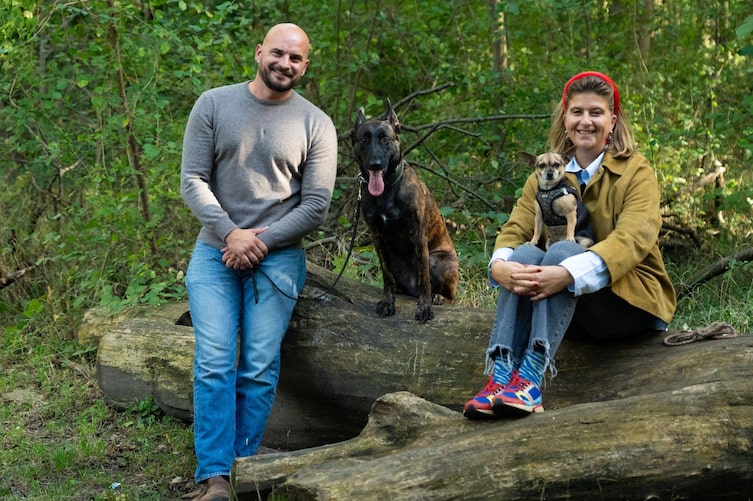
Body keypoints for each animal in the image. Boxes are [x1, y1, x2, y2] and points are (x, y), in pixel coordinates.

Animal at [348, 102, 458, 322]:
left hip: (437, 261)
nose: (375, 164)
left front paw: (424, 307)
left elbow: (425, 280)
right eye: (364, 139)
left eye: (386, 139)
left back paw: (439, 297)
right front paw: (387, 302)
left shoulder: (418, 237)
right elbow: (386, 276)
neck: (387, 191)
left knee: (451, 297)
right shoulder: (377, 237)